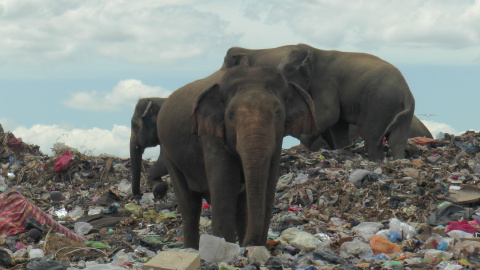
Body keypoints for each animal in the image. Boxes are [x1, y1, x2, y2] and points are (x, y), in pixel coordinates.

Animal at [156, 57, 316, 249]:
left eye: (278, 112)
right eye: (231, 115)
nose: (248, 244)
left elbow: (269, 183)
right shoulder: (211, 136)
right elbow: (226, 185)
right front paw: (224, 247)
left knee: (239, 206)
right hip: (170, 155)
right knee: (189, 206)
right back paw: (191, 250)